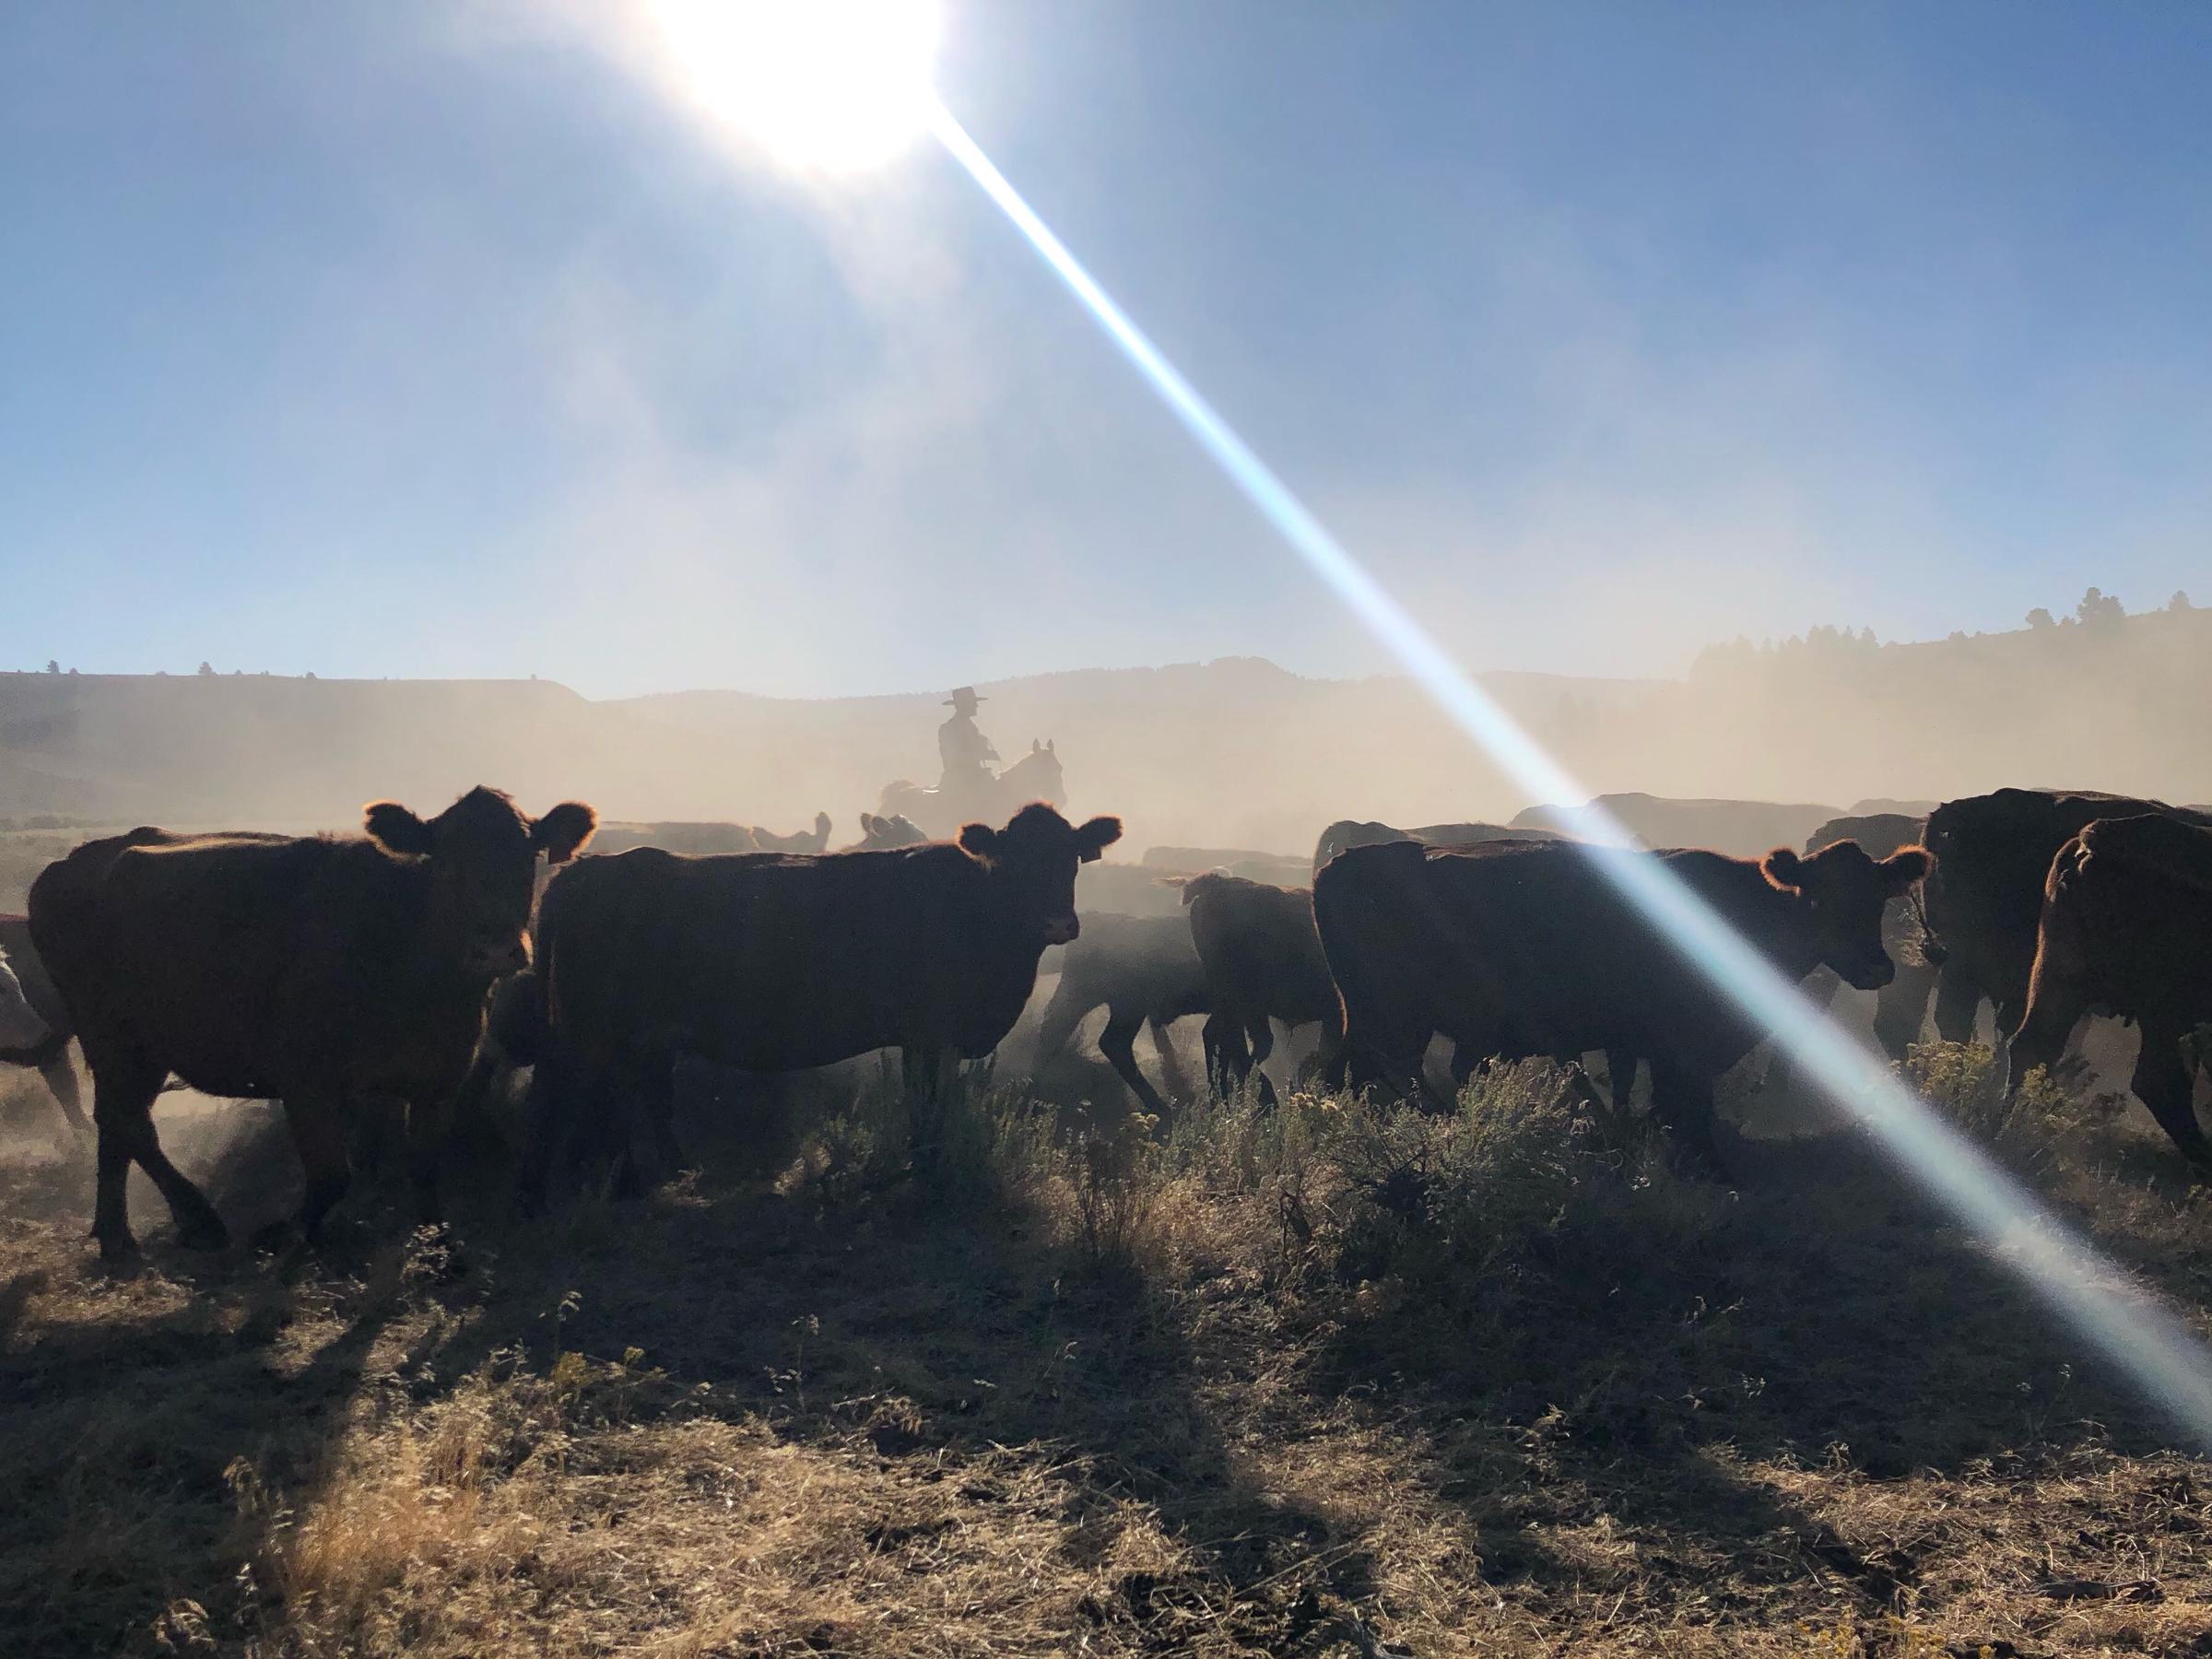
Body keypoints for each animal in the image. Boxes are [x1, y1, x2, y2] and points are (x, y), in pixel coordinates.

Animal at [28, 789, 598, 1260]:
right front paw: (285, 1234)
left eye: (527, 858)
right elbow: (330, 1176)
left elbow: (422, 1168)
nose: (496, 949)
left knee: (122, 1123)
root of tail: (69, 864)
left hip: (148, 1045)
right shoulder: (306, 1081)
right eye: (444, 861)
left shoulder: (438, 1079)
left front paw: (435, 1245)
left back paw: (120, 1232)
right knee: (125, 1121)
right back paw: (189, 1223)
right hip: (109, 1034)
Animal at [520, 802, 1122, 1207]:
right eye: (1015, 860)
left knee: (629, 1099)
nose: (1058, 924)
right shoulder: (931, 1033)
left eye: (1072, 858)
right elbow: (928, 1105)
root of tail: (582, 872)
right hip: (590, 1031)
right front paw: (929, 1171)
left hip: (635, 1036)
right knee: (567, 1100)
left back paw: (647, 1179)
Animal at [1315, 836, 1932, 1164]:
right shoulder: (1675, 1041)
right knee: (1383, 1075)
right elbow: (1683, 1104)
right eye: (1818, 898)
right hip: (1392, 1017)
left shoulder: (1634, 1038)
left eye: (1878, 899)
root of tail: (1344, 861)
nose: (1877, 968)